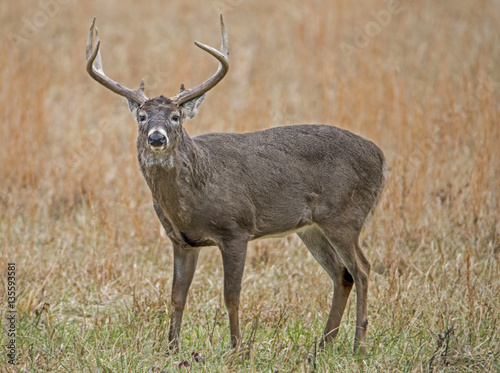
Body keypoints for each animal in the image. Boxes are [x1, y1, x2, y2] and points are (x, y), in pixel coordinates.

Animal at [86, 15, 386, 352]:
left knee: (362, 269)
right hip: (312, 227)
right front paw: (172, 349)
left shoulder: (236, 229)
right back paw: (322, 345)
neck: (196, 190)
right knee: (342, 274)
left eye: (176, 116)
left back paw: (358, 344)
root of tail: (381, 157)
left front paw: (237, 349)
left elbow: (231, 296)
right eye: (142, 116)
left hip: (345, 216)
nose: (156, 137)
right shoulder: (181, 240)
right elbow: (177, 297)